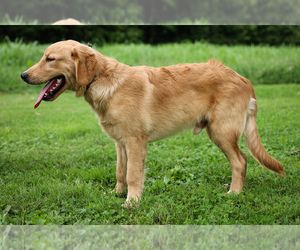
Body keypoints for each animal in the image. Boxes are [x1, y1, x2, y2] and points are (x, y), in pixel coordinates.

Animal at [20, 40, 284, 205]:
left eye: (50, 59)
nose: (22, 75)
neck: (104, 80)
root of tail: (244, 79)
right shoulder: (121, 143)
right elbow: (121, 172)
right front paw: (118, 194)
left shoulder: (135, 141)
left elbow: (133, 175)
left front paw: (132, 202)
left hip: (221, 132)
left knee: (241, 161)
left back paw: (234, 193)